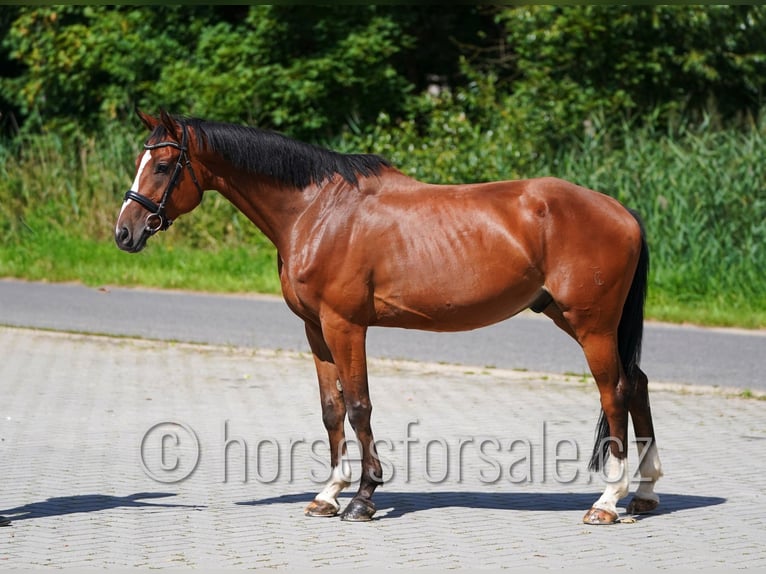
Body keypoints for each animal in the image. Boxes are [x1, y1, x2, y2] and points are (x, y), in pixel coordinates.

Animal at [115, 110, 663, 524]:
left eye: (162, 165)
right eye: (142, 160)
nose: (125, 232)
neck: (317, 210)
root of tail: (621, 212)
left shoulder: (345, 325)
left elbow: (359, 407)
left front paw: (362, 498)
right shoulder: (315, 329)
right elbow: (331, 409)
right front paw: (327, 495)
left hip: (591, 325)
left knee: (614, 392)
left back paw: (608, 502)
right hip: (569, 317)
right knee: (636, 383)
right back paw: (645, 492)